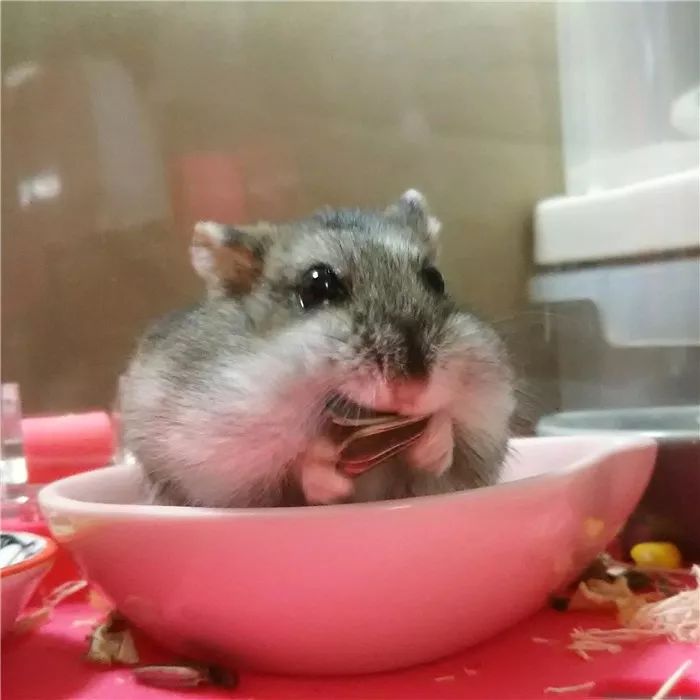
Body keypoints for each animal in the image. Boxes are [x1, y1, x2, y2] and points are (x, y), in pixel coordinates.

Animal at [120, 190, 515, 508]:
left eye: (435, 279)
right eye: (318, 286)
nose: (413, 388)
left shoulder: (483, 429)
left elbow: (449, 440)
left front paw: (433, 440)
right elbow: (301, 466)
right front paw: (328, 471)